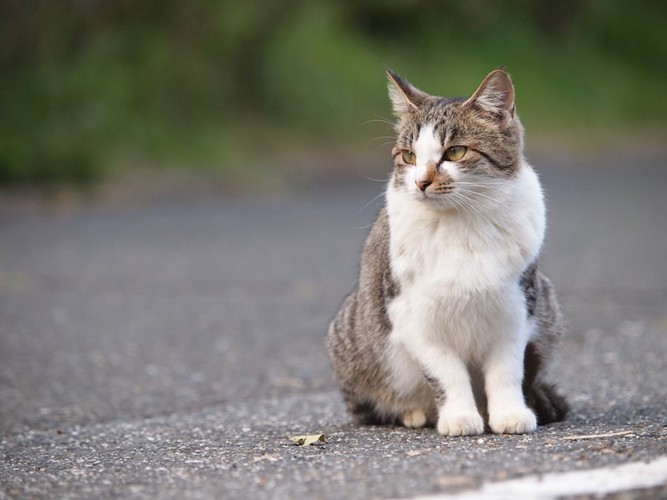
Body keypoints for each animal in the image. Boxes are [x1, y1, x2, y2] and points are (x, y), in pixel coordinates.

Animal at [326, 68, 568, 436]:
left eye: (455, 152)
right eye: (409, 157)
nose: (420, 182)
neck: (462, 222)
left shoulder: (517, 308)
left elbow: (507, 370)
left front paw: (510, 413)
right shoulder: (413, 316)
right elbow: (446, 372)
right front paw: (459, 415)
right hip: (352, 342)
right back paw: (413, 413)